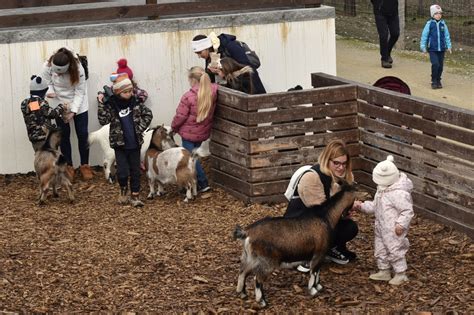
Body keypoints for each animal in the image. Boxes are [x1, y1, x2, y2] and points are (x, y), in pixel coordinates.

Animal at [233, 183, 370, 308]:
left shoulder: (320, 254)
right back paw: (262, 301)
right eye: (358, 188)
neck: (326, 217)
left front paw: (319, 286)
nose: (369, 194)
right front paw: (313, 290)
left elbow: (318, 271)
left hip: (250, 256)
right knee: (257, 278)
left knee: (243, 272)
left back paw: (242, 294)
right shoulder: (319, 252)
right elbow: (314, 271)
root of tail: (247, 233)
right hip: (268, 260)